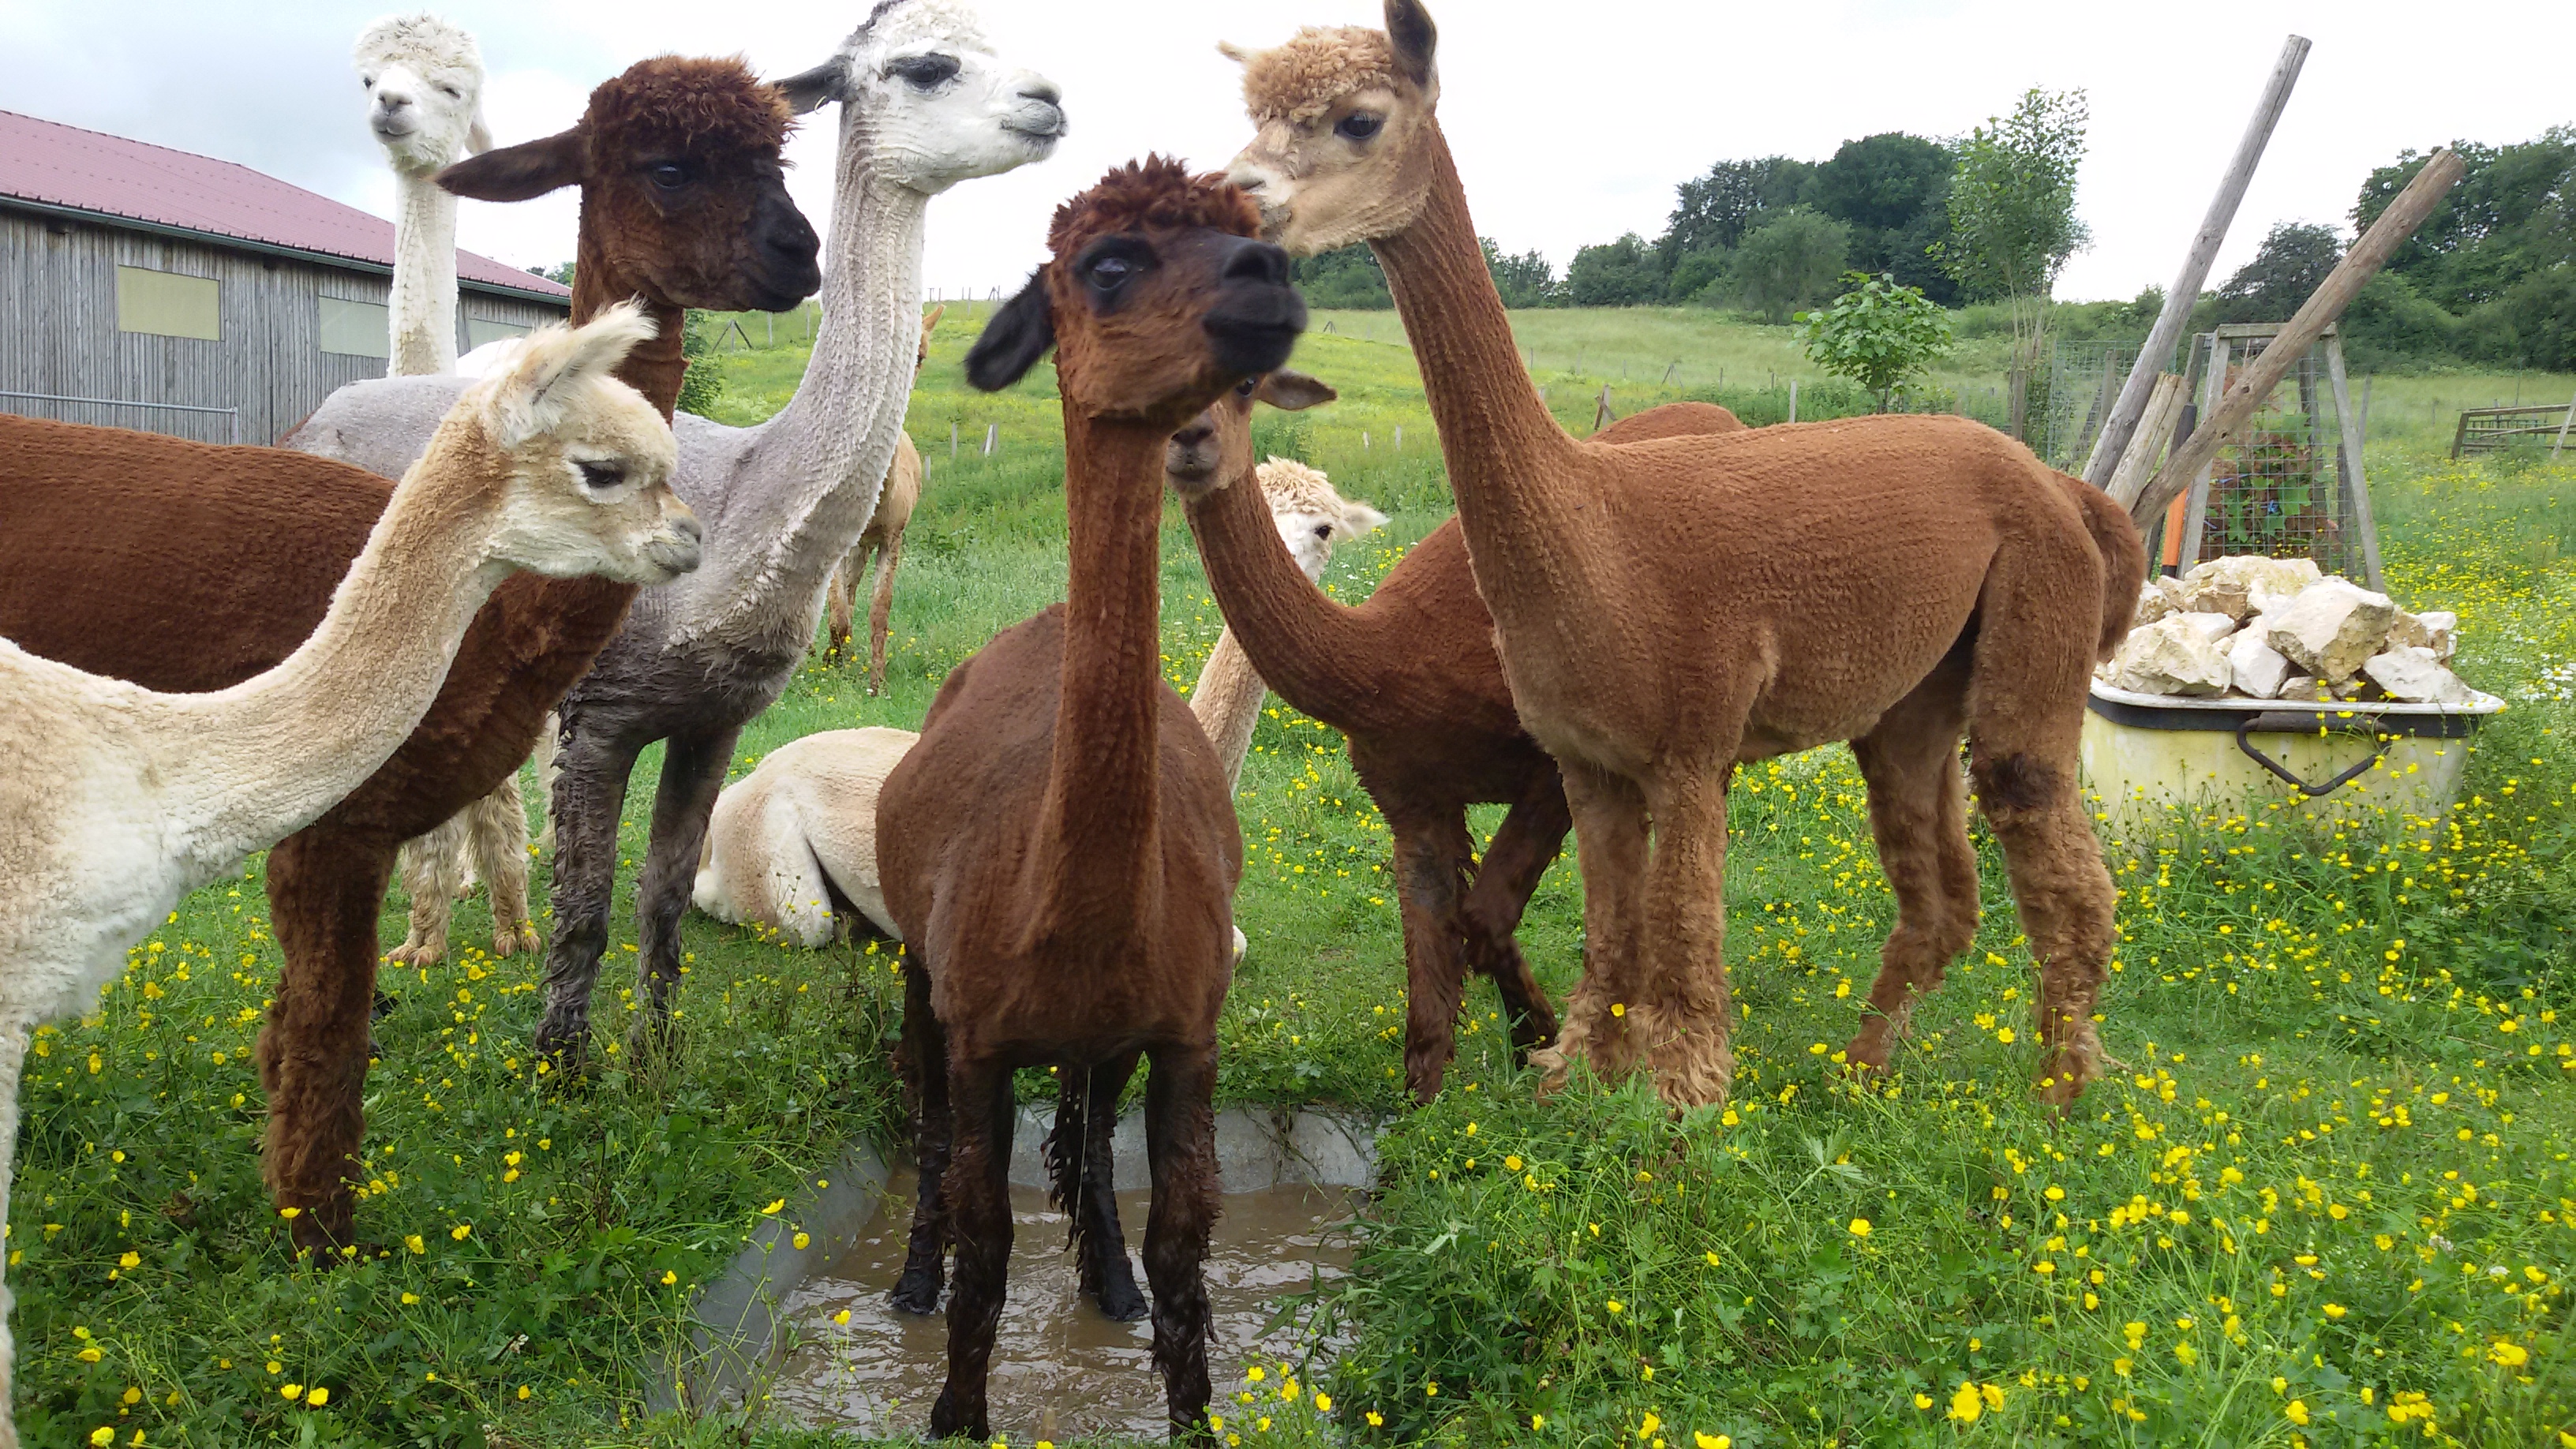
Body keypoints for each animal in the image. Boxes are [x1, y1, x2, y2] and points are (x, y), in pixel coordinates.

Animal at [0, 55, 819, 1253]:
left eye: (776, 154)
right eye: (668, 165)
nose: (799, 254)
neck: (489, 614)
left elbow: (298, 1031)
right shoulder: (332, 823)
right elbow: (325, 1031)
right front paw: (323, 1242)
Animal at [824, 305, 943, 693]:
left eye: (920, 355)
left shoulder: (893, 535)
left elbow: (879, 609)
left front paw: (877, 683)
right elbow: (838, 611)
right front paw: (832, 664)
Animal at [873, 157, 1301, 1442]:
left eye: (1253, 228)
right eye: (1107, 264)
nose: (1272, 280)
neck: (1065, 914)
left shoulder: (1184, 1026)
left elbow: (1184, 1246)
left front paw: (1188, 1405)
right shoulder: (978, 1027)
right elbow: (984, 1242)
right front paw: (955, 1409)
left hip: (1109, 1034)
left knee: (1089, 1142)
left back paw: (1105, 1282)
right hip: (919, 963)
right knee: (928, 1124)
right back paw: (909, 1283)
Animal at [1172, 375, 1729, 1100]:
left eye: (1324, 527)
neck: (1386, 660)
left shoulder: (1554, 762)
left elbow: (1486, 913)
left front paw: (1543, 1042)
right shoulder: (1410, 796)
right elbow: (1440, 941)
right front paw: (1435, 1094)